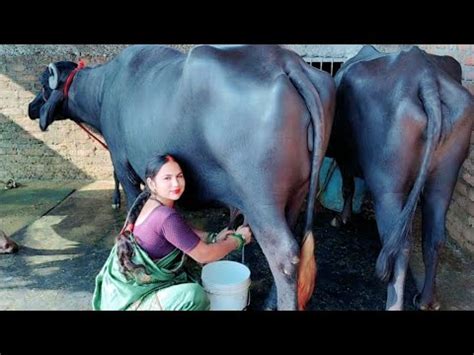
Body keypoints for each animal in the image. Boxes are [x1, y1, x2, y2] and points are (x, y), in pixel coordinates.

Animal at [28, 45, 336, 312]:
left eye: (43, 86)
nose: (31, 109)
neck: (104, 89)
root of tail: (287, 63)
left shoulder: (122, 162)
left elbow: (132, 202)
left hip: (261, 200)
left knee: (284, 254)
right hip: (296, 194)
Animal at [328, 45, 472, 312]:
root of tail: (425, 77)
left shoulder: (344, 158)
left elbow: (347, 187)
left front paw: (342, 219)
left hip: (388, 186)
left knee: (399, 245)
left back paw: (394, 304)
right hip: (443, 180)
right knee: (434, 236)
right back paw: (426, 299)